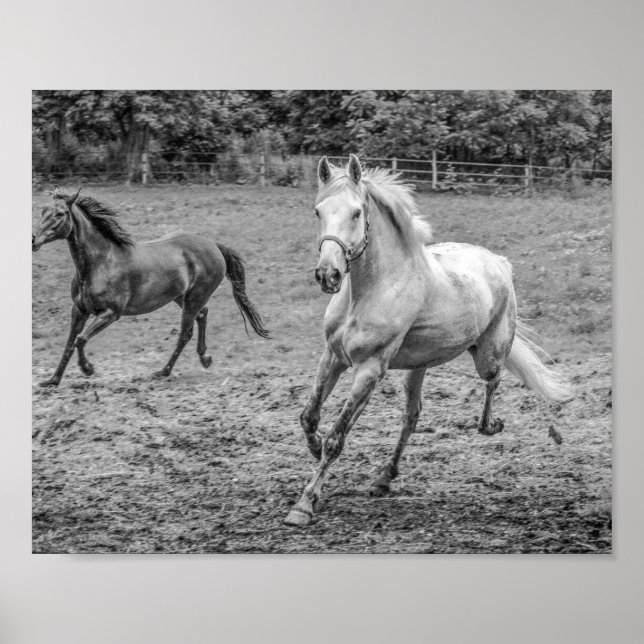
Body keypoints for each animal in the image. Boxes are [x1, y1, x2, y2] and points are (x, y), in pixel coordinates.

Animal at [32, 186, 269, 387]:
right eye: (43, 210)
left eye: (60, 213)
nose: (33, 239)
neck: (100, 262)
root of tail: (214, 245)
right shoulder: (79, 310)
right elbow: (70, 342)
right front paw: (52, 380)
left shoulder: (111, 313)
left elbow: (80, 339)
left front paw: (88, 369)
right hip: (181, 297)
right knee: (202, 315)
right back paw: (205, 358)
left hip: (194, 297)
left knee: (186, 332)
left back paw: (163, 371)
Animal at [284, 154, 572, 527]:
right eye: (318, 211)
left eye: (356, 213)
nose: (327, 275)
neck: (371, 289)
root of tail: (498, 261)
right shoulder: (333, 357)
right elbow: (309, 416)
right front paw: (314, 446)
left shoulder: (369, 369)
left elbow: (338, 437)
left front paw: (304, 505)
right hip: (416, 367)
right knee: (412, 417)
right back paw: (384, 478)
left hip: (488, 353)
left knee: (493, 380)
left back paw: (491, 426)